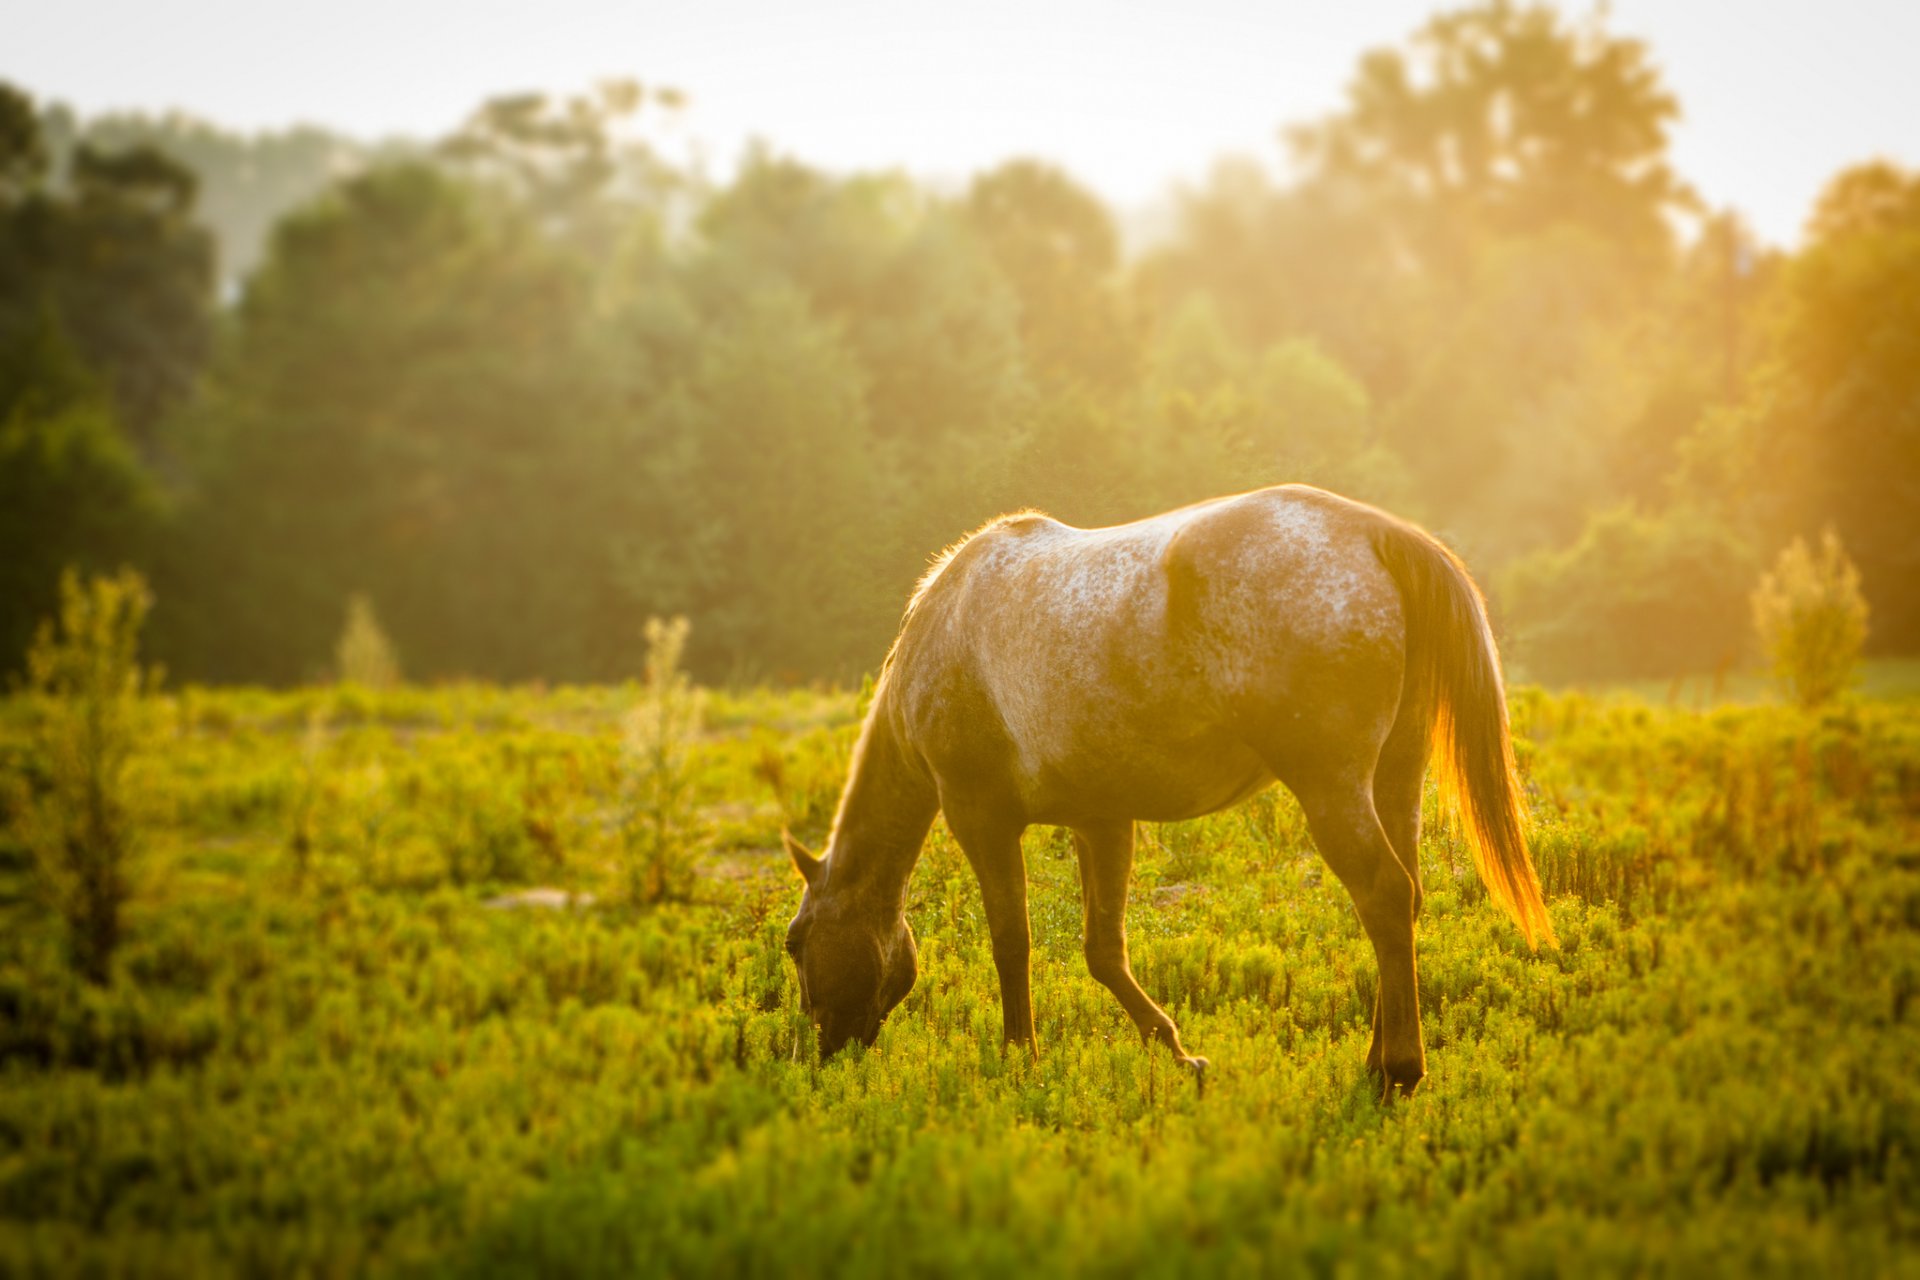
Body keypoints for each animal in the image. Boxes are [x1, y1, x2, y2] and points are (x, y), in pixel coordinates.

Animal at [782, 484, 1554, 1097]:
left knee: (1385, 897)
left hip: (1332, 789)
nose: (820, 1053)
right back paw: (1376, 1059)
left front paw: (1019, 1056)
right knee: (1406, 901)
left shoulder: (982, 818)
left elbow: (1012, 941)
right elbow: (1103, 950)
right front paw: (1179, 1054)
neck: (947, 626)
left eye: (795, 943)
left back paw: (1397, 1071)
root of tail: (1376, 534)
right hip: (1395, 779)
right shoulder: (1101, 821)